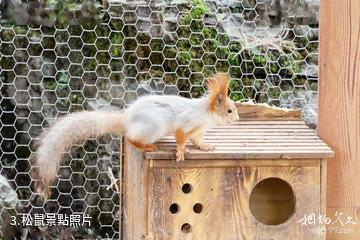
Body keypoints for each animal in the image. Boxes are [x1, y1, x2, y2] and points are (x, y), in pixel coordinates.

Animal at [30, 73, 239, 199]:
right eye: (229, 110)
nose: (237, 119)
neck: (205, 114)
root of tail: (127, 120)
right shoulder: (185, 124)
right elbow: (180, 139)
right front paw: (180, 153)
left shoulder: (196, 131)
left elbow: (197, 141)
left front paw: (205, 146)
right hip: (153, 127)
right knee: (131, 139)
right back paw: (146, 146)